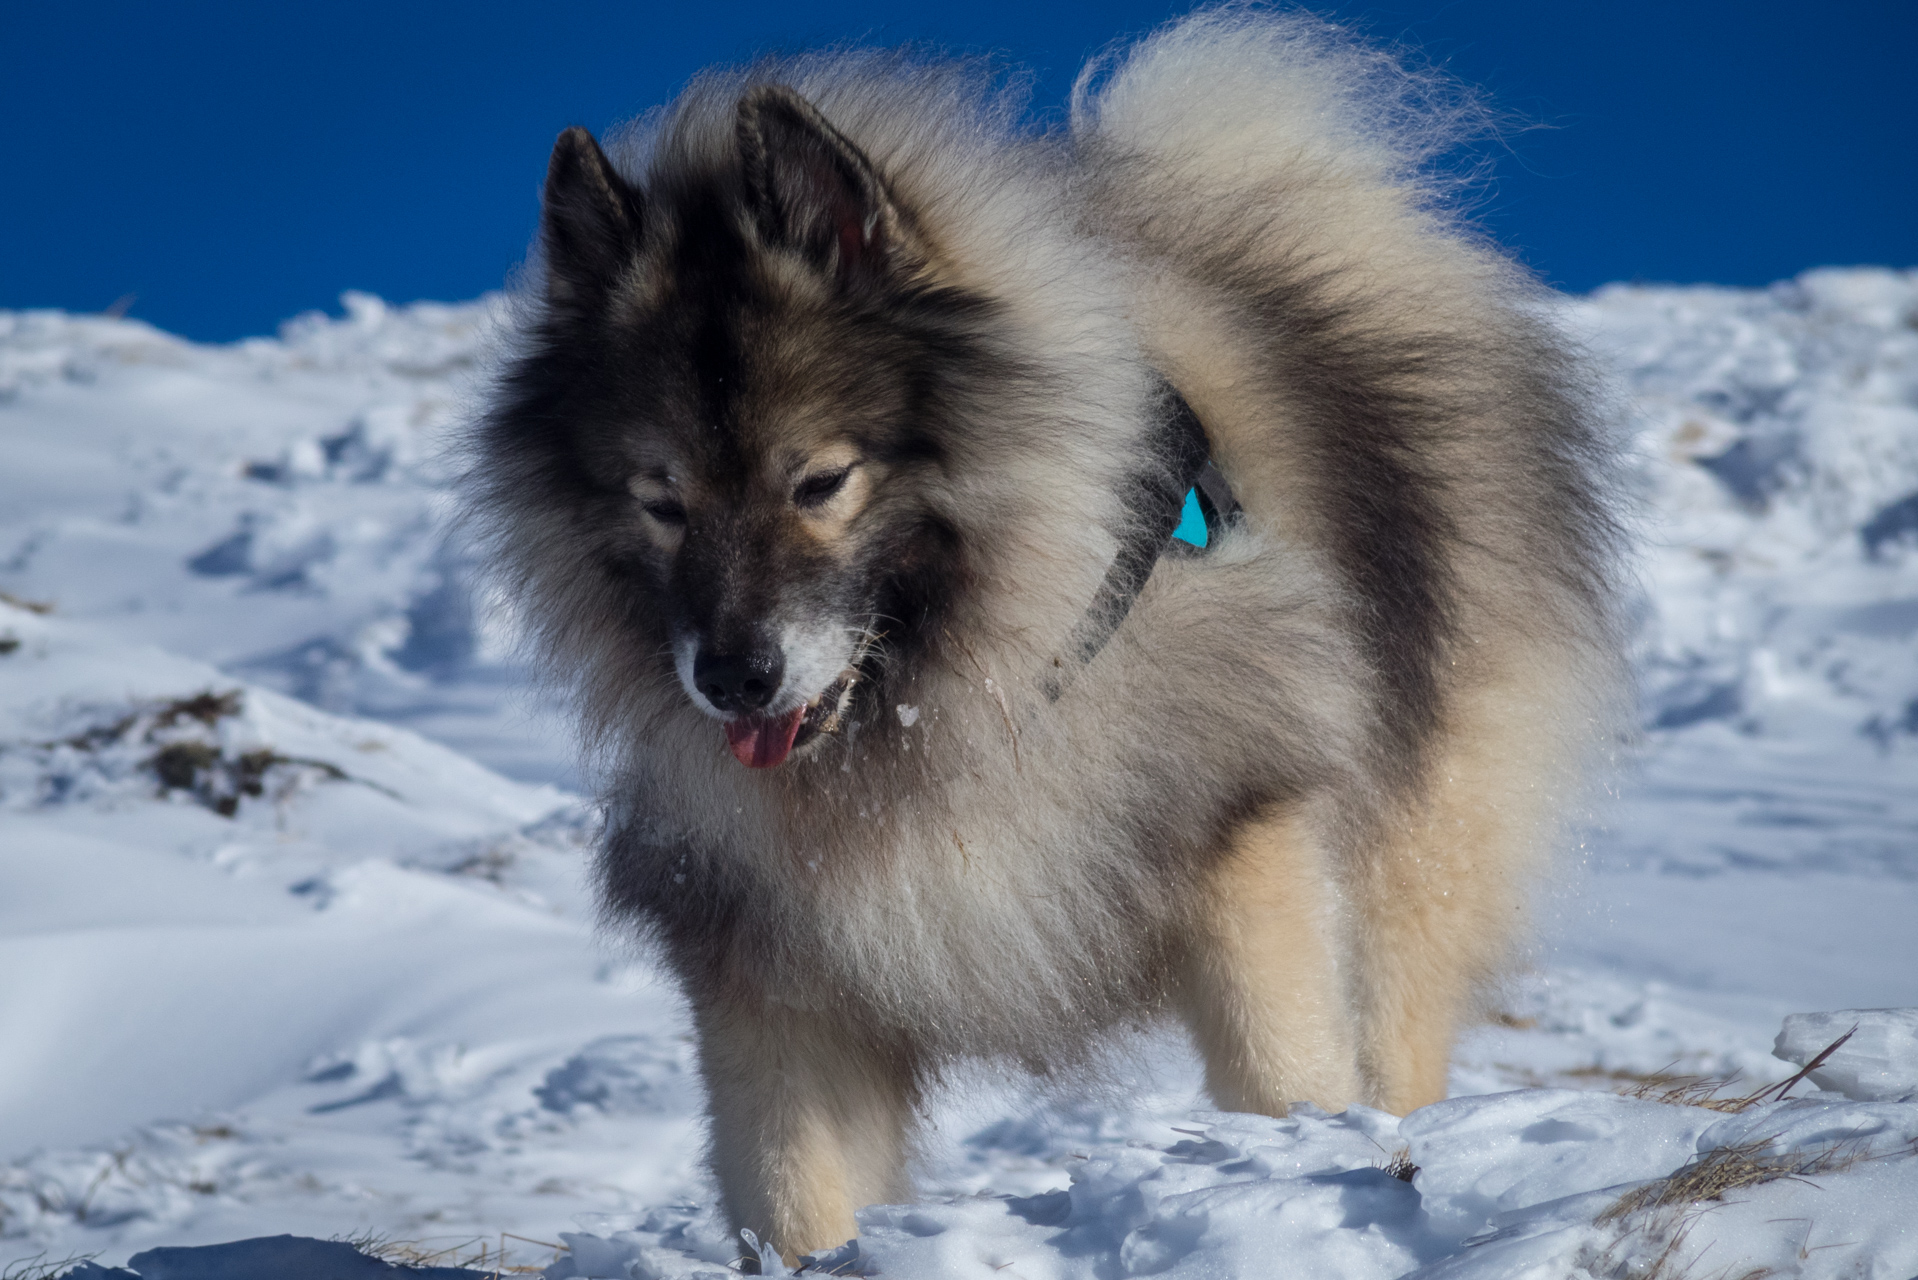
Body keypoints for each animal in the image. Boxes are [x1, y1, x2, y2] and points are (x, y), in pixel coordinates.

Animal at [464, 7, 1618, 1274]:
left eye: (819, 480)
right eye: (659, 499)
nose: (732, 677)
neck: (950, 703)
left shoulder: (1246, 848)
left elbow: (1284, 1071)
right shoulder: (775, 969)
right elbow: (794, 1190)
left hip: (1404, 866)